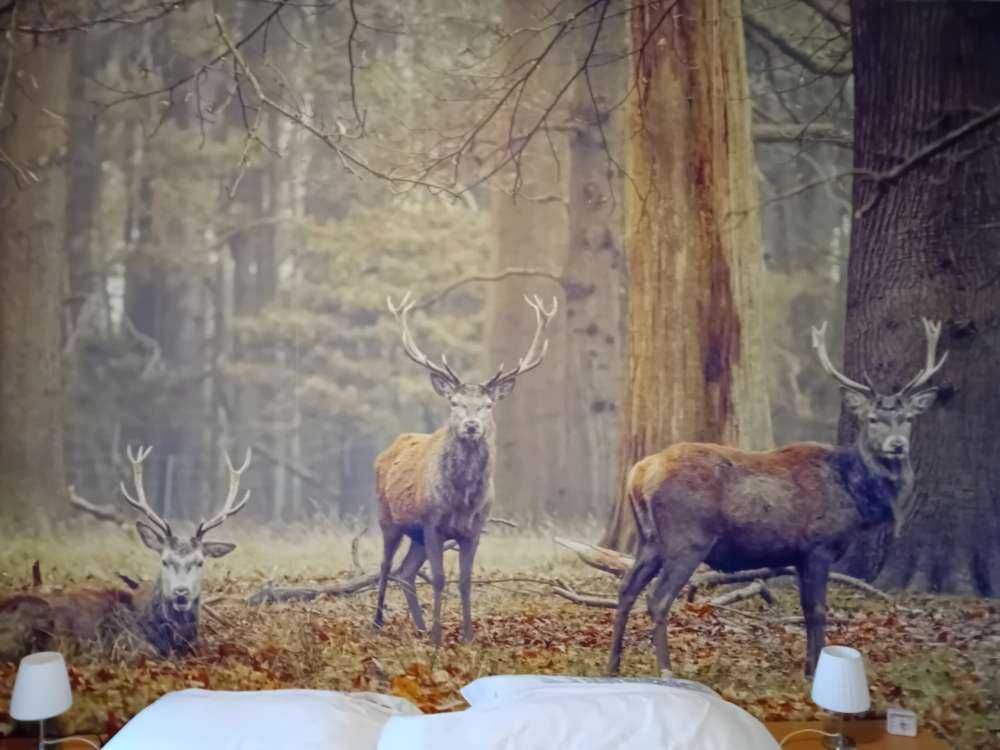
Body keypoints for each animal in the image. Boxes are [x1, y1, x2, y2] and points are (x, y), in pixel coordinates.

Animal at [374, 291, 557, 645]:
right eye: (455, 403)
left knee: (405, 573)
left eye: (488, 405)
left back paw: (417, 627)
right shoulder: (432, 524)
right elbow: (439, 578)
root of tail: (388, 448)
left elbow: (465, 580)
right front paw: (437, 637)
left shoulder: (474, 529)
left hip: (415, 534)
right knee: (386, 566)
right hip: (388, 518)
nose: (471, 426)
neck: (462, 500)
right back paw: (377, 623)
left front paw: (468, 636)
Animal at [607, 319, 948, 678]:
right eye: (872, 419)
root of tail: (639, 473)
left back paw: (613, 665)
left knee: (626, 589)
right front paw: (814, 669)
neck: (855, 496)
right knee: (658, 598)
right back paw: (666, 670)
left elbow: (807, 608)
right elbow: (817, 609)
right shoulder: (818, 546)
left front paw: (809, 666)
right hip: (687, 539)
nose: (897, 445)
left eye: (907, 419)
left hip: (650, 539)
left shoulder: (799, 555)